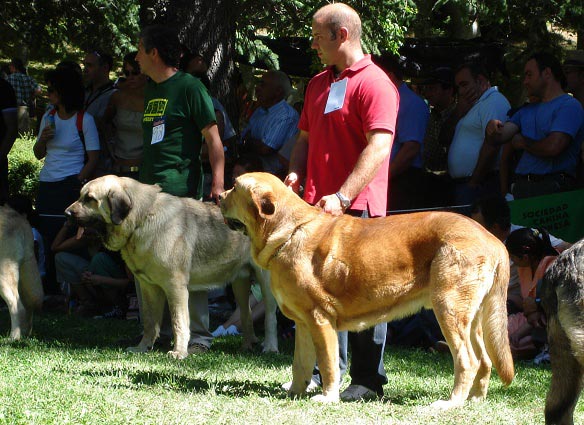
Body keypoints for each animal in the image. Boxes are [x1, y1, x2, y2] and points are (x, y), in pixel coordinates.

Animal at [67, 175, 278, 358]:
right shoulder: (149, 287)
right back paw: (247, 346)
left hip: (266, 284)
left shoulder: (175, 287)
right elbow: (150, 322)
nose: (67, 213)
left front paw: (179, 352)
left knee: (270, 316)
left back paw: (269, 347)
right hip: (240, 283)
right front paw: (142, 347)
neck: (142, 218)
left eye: (90, 199)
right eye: (80, 195)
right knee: (246, 314)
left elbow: (179, 322)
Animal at [220, 172, 516, 408]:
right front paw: (294, 392)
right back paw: (475, 400)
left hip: (448, 309)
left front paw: (327, 397)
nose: (218, 195)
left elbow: (328, 364)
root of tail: (492, 239)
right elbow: (300, 364)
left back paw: (451, 403)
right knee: (485, 360)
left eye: (234, 186)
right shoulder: (303, 324)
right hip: (472, 318)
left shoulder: (319, 319)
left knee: (467, 360)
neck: (288, 231)